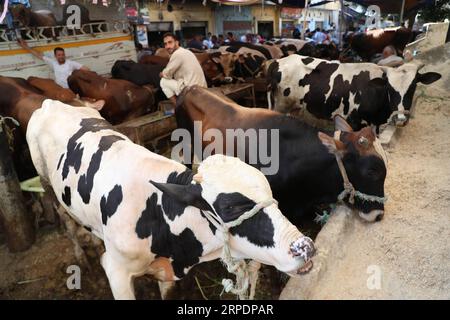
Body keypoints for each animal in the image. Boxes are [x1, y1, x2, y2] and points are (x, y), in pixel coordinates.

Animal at [27, 100, 316, 300]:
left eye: (271, 194)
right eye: (230, 207)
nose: (305, 247)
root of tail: (51, 103)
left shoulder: (166, 271)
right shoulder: (116, 271)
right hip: (46, 182)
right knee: (65, 220)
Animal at [268, 54, 442, 130]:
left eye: (413, 86)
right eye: (389, 87)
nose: (400, 119)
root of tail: (278, 61)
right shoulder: (354, 121)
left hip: (294, 107)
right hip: (279, 106)